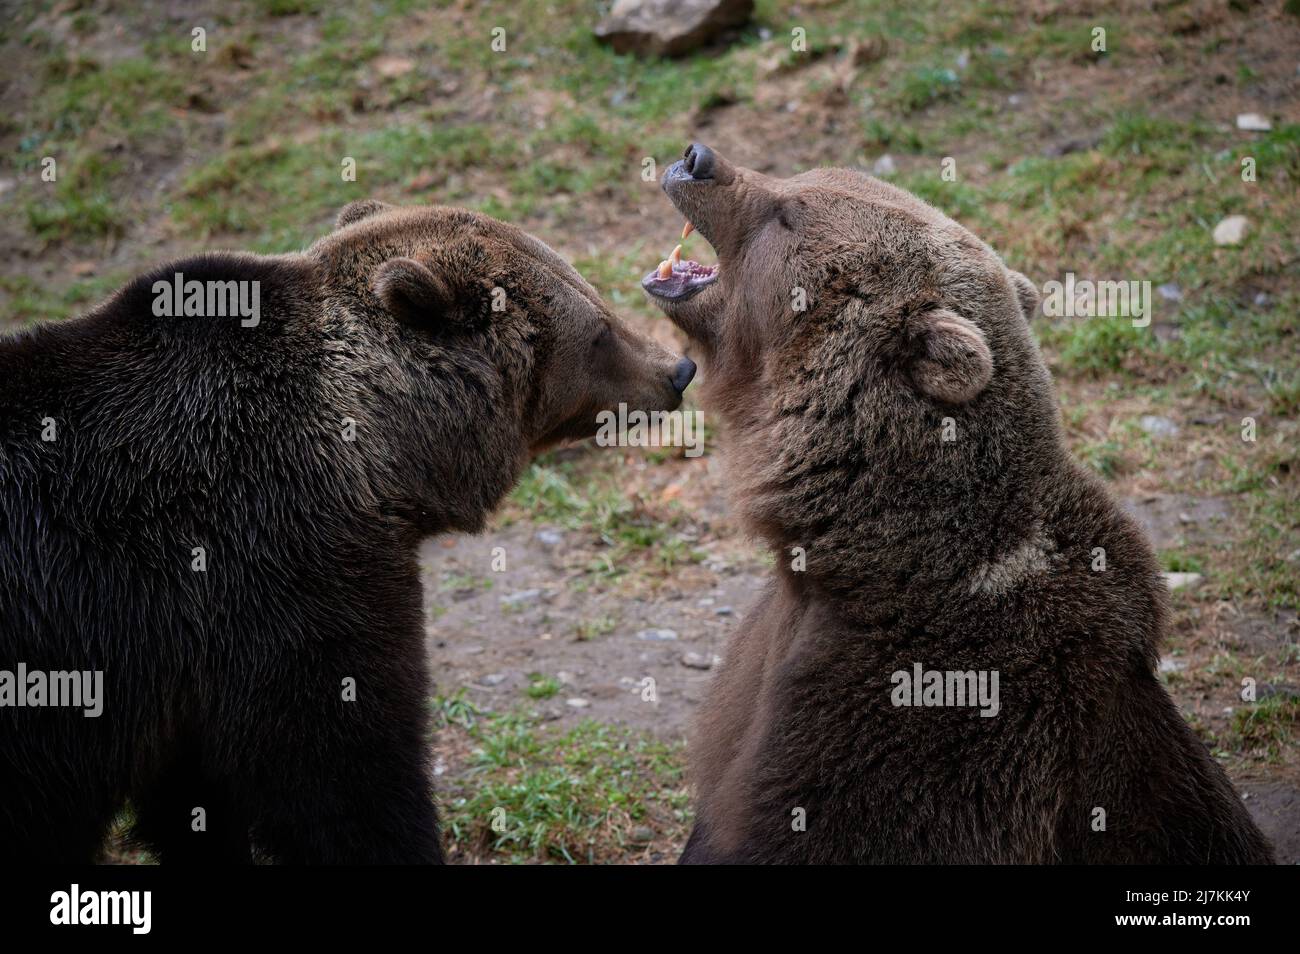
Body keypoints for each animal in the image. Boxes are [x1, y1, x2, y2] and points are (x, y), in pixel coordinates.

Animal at [0, 201, 696, 868]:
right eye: (599, 331)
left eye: (598, 302)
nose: (678, 370)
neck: (383, 452)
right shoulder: (281, 569)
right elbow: (343, 775)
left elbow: (194, 803)